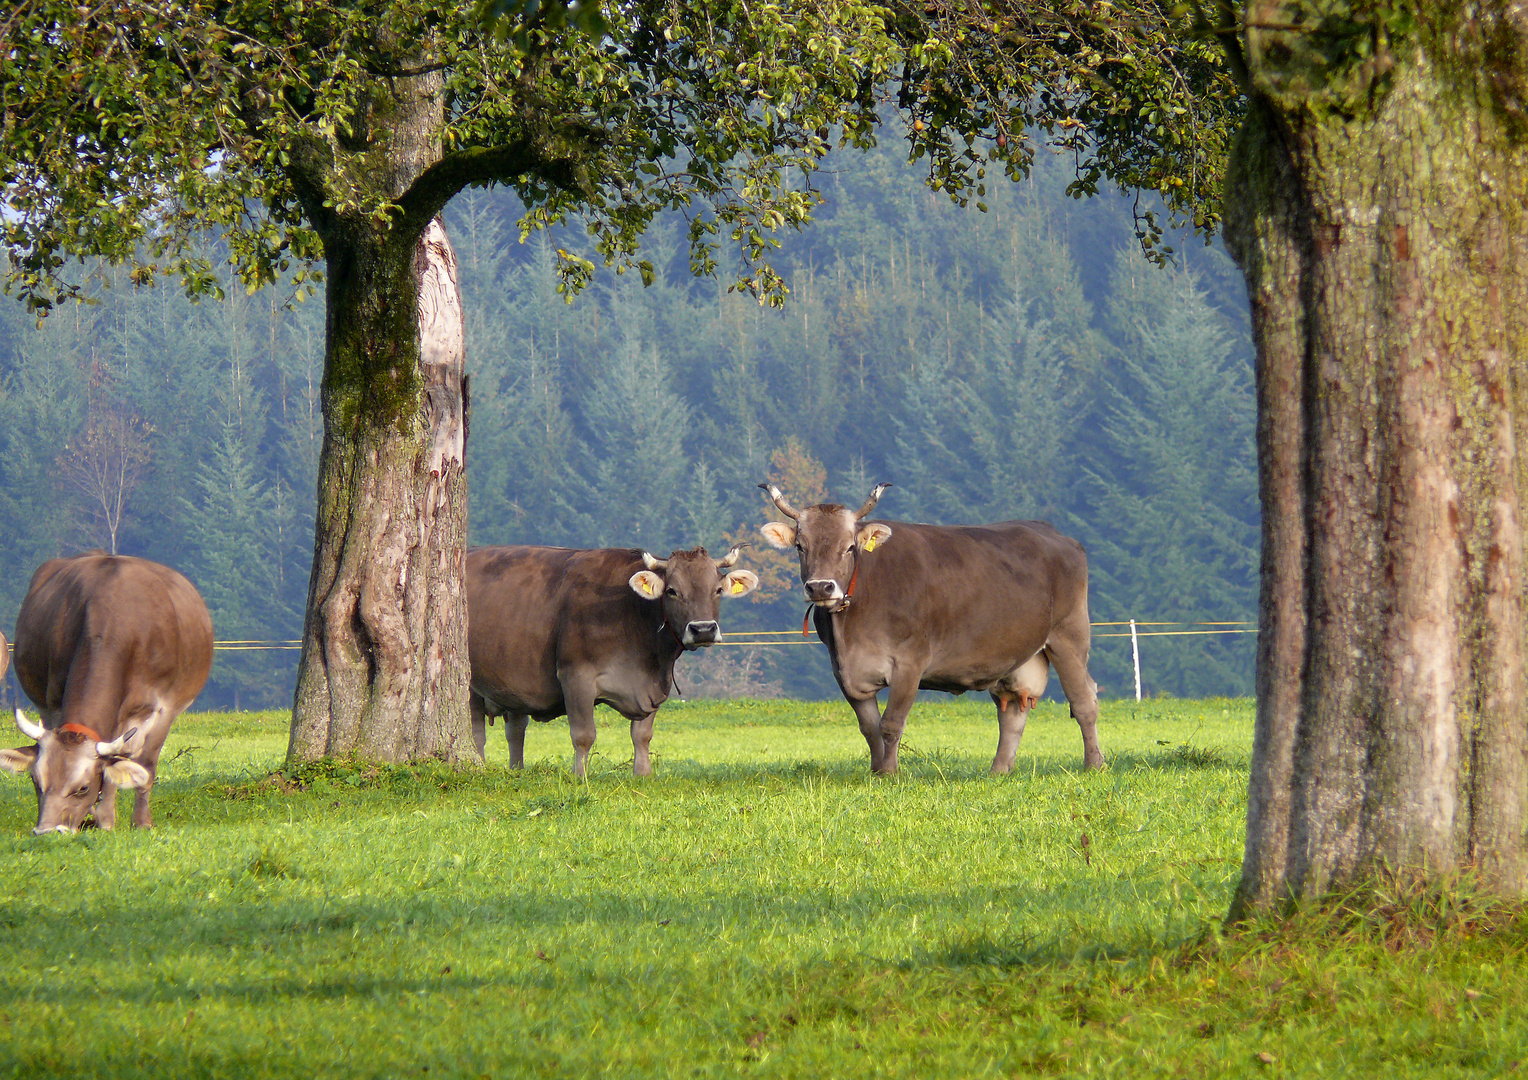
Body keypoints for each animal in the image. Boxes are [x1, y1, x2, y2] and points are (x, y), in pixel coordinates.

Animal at [0, 559, 215, 837]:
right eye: (35, 781)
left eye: (82, 788)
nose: (46, 832)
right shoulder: (55, 703)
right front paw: (100, 820)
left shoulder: (163, 709)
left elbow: (144, 766)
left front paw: (140, 822)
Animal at [461, 549, 754, 776]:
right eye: (672, 591)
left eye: (717, 590)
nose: (703, 629)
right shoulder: (575, 677)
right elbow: (583, 735)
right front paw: (579, 776)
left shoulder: (654, 688)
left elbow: (642, 735)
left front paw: (643, 774)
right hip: (471, 687)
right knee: (476, 734)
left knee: (515, 730)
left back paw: (517, 770)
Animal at [760, 482, 1100, 776]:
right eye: (800, 546)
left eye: (849, 547)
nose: (820, 587)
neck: (850, 628)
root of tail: (1050, 531)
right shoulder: (844, 671)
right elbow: (869, 728)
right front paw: (875, 771)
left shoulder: (910, 662)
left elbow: (890, 724)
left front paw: (889, 773)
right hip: (1018, 655)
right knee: (1013, 713)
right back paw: (998, 772)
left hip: (1069, 636)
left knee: (1084, 701)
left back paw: (1094, 765)